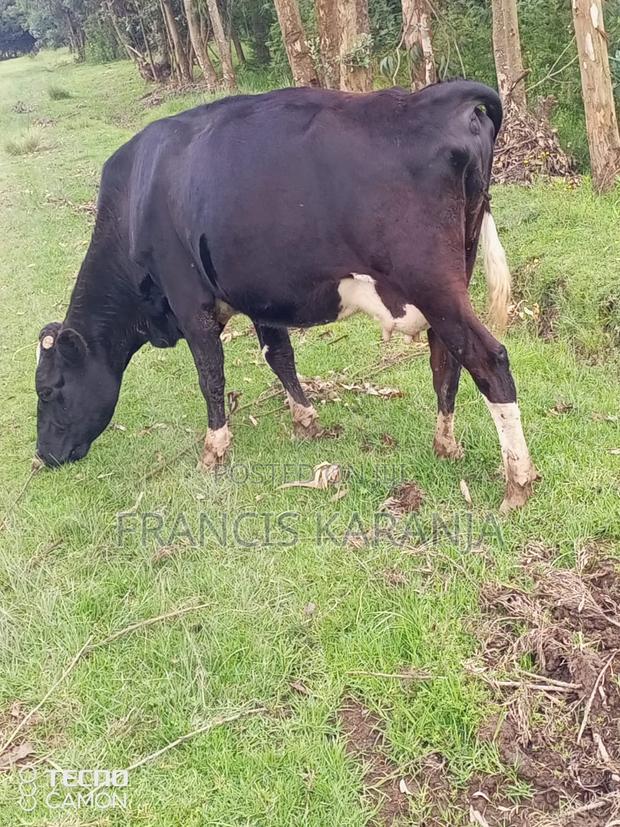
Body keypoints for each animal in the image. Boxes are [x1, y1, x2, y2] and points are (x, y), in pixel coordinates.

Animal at [34, 80, 538, 512]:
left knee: (488, 359)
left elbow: (210, 374)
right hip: (451, 278)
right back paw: (446, 444)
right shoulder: (260, 296)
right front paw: (305, 419)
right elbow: (279, 356)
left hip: (431, 282)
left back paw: (517, 483)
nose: (43, 455)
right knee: (446, 358)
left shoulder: (188, 298)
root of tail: (441, 97)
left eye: (47, 389)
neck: (135, 202)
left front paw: (214, 449)